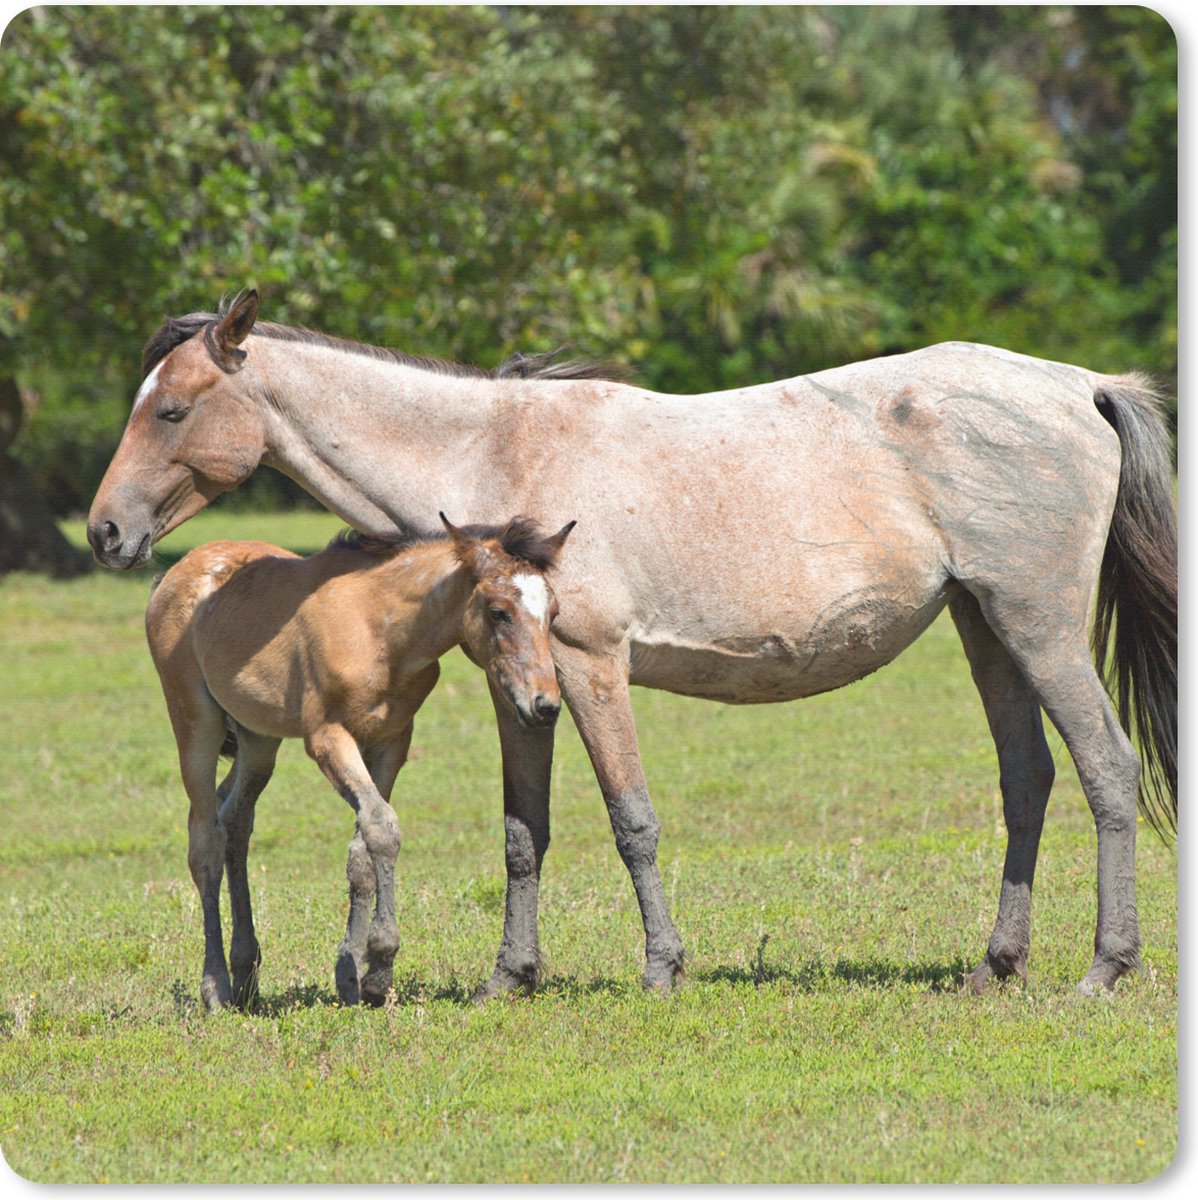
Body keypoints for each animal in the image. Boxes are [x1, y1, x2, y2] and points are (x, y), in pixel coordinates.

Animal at [144, 512, 574, 1011]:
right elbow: (383, 828)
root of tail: (172, 575)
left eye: (553, 613)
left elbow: (363, 848)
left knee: (236, 820)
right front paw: (380, 965)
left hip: (258, 739)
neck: (381, 631)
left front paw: (352, 978)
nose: (545, 705)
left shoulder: (391, 741)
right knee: (205, 839)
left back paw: (246, 974)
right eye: (498, 611)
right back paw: (215, 987)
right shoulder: (328, 738)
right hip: (195, 721)